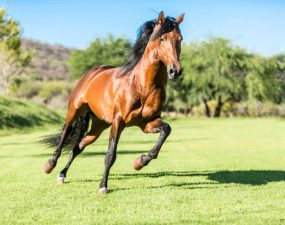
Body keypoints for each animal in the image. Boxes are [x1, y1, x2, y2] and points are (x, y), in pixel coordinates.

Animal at [42, 11, 184, 193]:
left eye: (179, 38)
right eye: (162, 38)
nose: (175, 71)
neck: (142, 86)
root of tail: (91, 73)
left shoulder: (147, 123)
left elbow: (166, 130)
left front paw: (140, 162)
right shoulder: (119, 121)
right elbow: (110, 155)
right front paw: (103, 187)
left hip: (98, 126)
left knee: (77, 147)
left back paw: (62, 175)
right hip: (74, 110)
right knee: (66, 133)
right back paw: (50, 165)